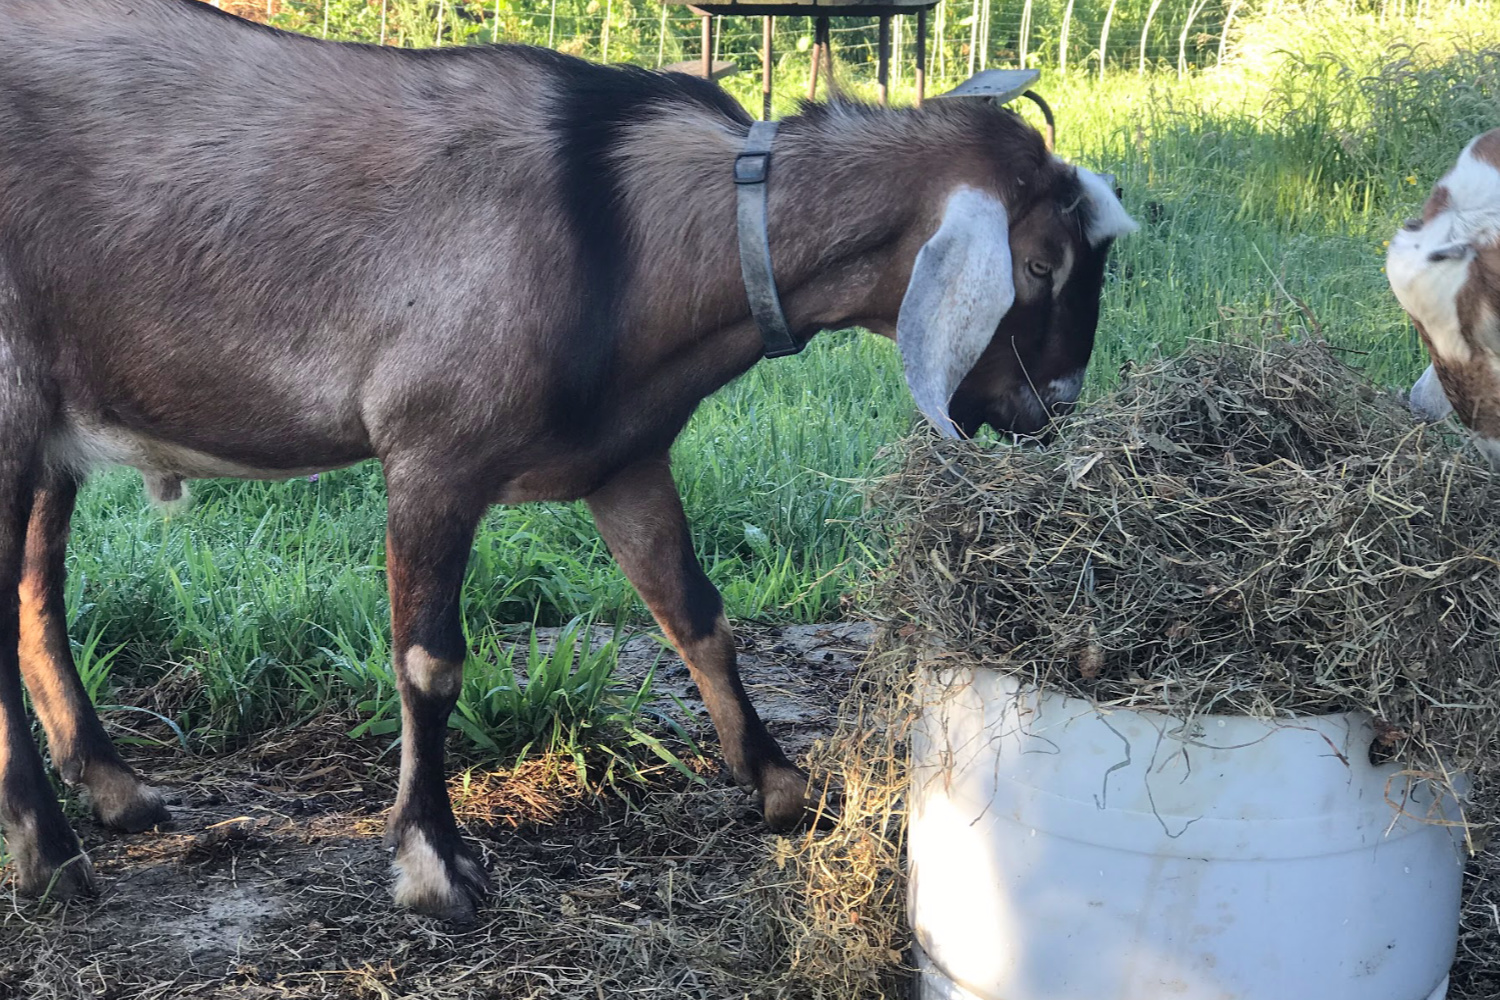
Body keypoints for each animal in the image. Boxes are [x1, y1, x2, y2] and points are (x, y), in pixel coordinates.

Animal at [0, 0, 1128, 917]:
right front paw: (435, 864)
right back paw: (50, 854)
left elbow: (697, 614)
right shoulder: (432, 452)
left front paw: (783, 787)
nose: (1056, 410)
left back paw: (116, 793)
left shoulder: (625, 459)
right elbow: (430, 662)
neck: (633, 229)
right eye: (1039, 265)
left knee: (33, 594)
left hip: (52, 422)